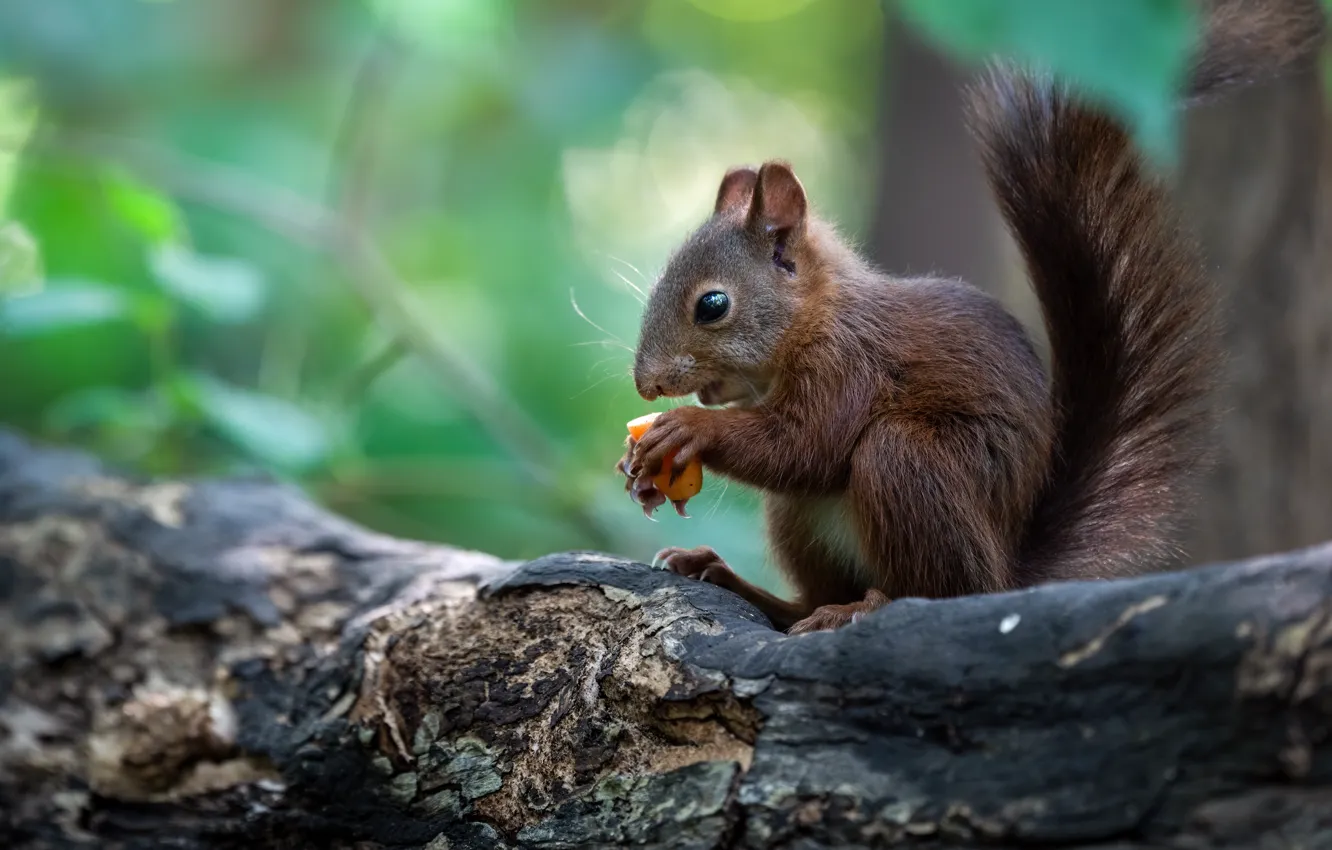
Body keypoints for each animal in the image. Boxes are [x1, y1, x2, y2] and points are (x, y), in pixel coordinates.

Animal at [618, 0, 1326, 635]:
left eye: (713, 305)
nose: (647, 385)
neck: (811, 319)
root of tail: (1004, 578)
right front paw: (644, 475)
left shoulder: (850, 363)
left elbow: (805, 445)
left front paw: (688, 429)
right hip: (799, 519)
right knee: (811, 595)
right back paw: (740, 583)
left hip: (912, 466)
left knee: (931, 586)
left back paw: (862, 608)